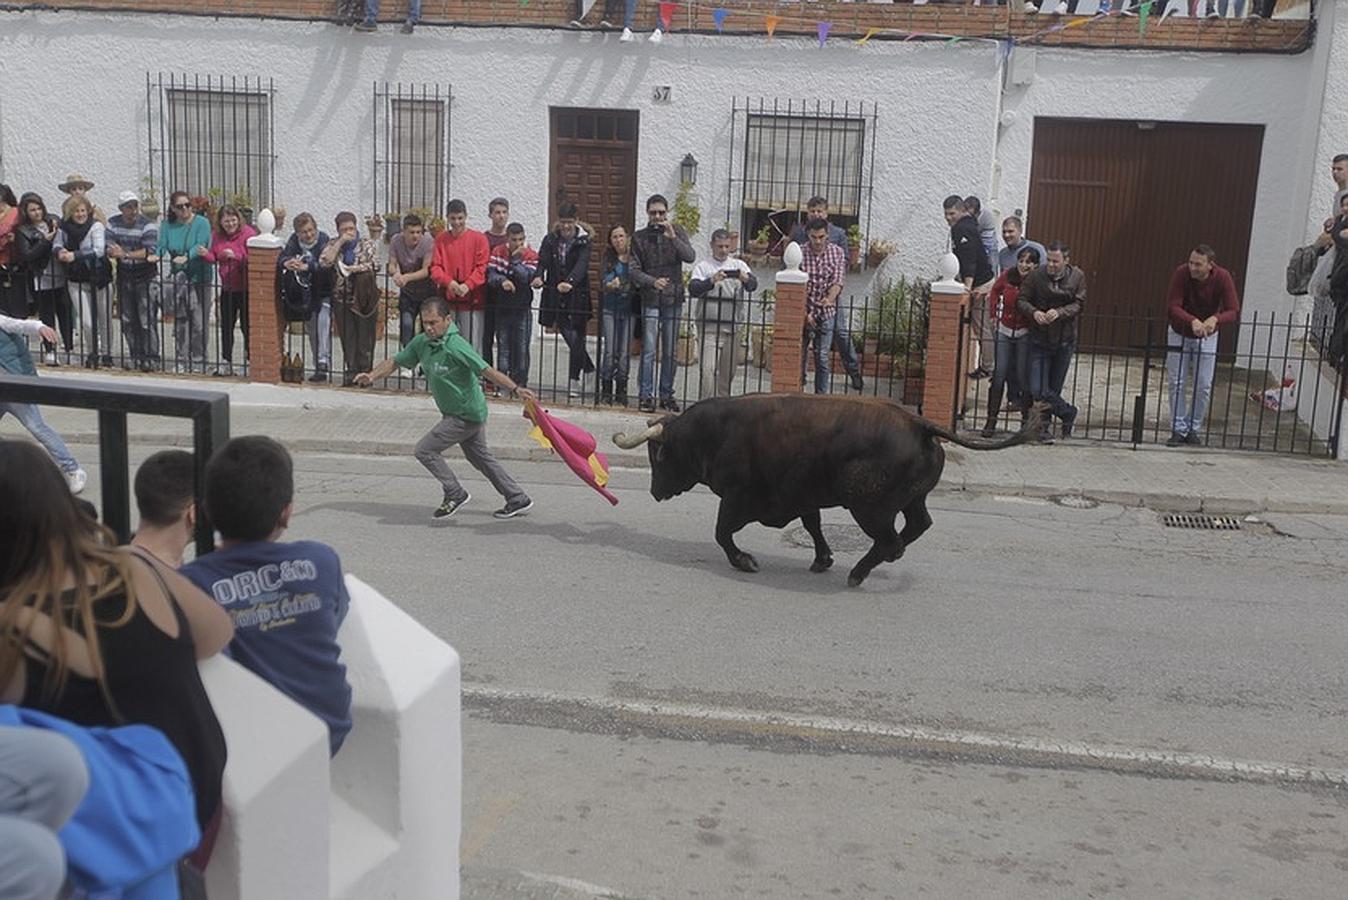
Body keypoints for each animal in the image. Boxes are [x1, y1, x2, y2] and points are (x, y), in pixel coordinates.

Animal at [617, 396, 1035, 587]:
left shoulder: (737, 497)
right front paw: (822, 559)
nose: (654, 492)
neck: (715, 433)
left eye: (657, 456)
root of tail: (918, 424)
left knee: (889, 539)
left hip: (869, 508)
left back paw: (861, 572)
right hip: (908, 500)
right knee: (918, 524)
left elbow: (722, 533)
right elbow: (813, 525)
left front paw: (745, 561)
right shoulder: (802, 495)